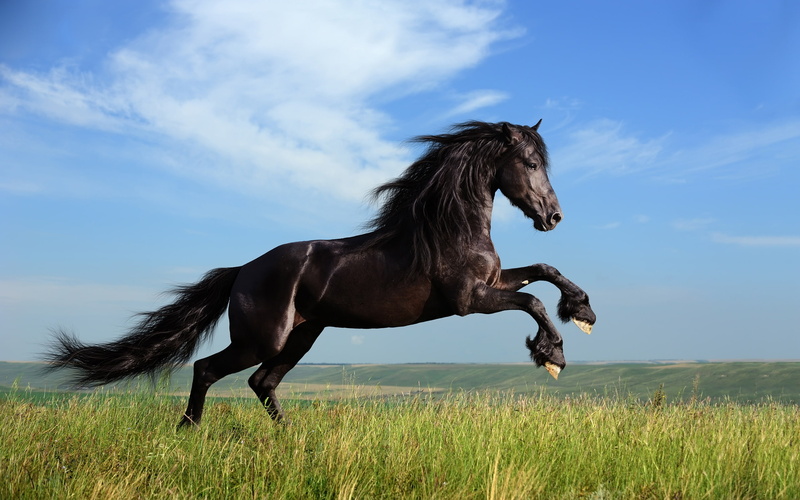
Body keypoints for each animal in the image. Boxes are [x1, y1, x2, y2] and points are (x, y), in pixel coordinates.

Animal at [45, 120, 596, 427]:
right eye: (530, 163)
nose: (553, 217)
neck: (449, 229)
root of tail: (242, 271)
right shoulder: (469, 300)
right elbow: (532, 300)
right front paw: (552, 354)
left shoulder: (493, 283)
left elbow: (544, 270)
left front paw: (583, 311)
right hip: (263, 338)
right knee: (208, 370)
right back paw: (188, 430)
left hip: (303, 336)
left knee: (262, 382)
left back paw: (289, 437)